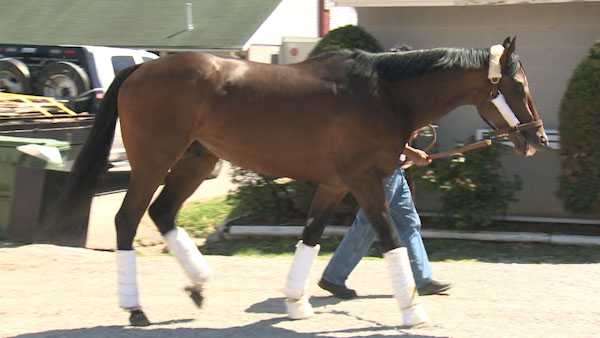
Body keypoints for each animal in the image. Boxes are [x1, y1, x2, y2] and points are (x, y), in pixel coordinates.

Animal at [54, 37, 548, 328]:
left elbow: (310, 237)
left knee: (162, 212)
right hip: (154, 160)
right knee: (128, 218)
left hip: (197, 159)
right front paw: (413, 310)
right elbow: (391, 239)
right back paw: (135, 308)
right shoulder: (365, 182)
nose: (537, 138)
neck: (382, 94)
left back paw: (198, 284)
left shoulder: (334, 185)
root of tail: (140, 69)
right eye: (518, 86)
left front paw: (296, 302)